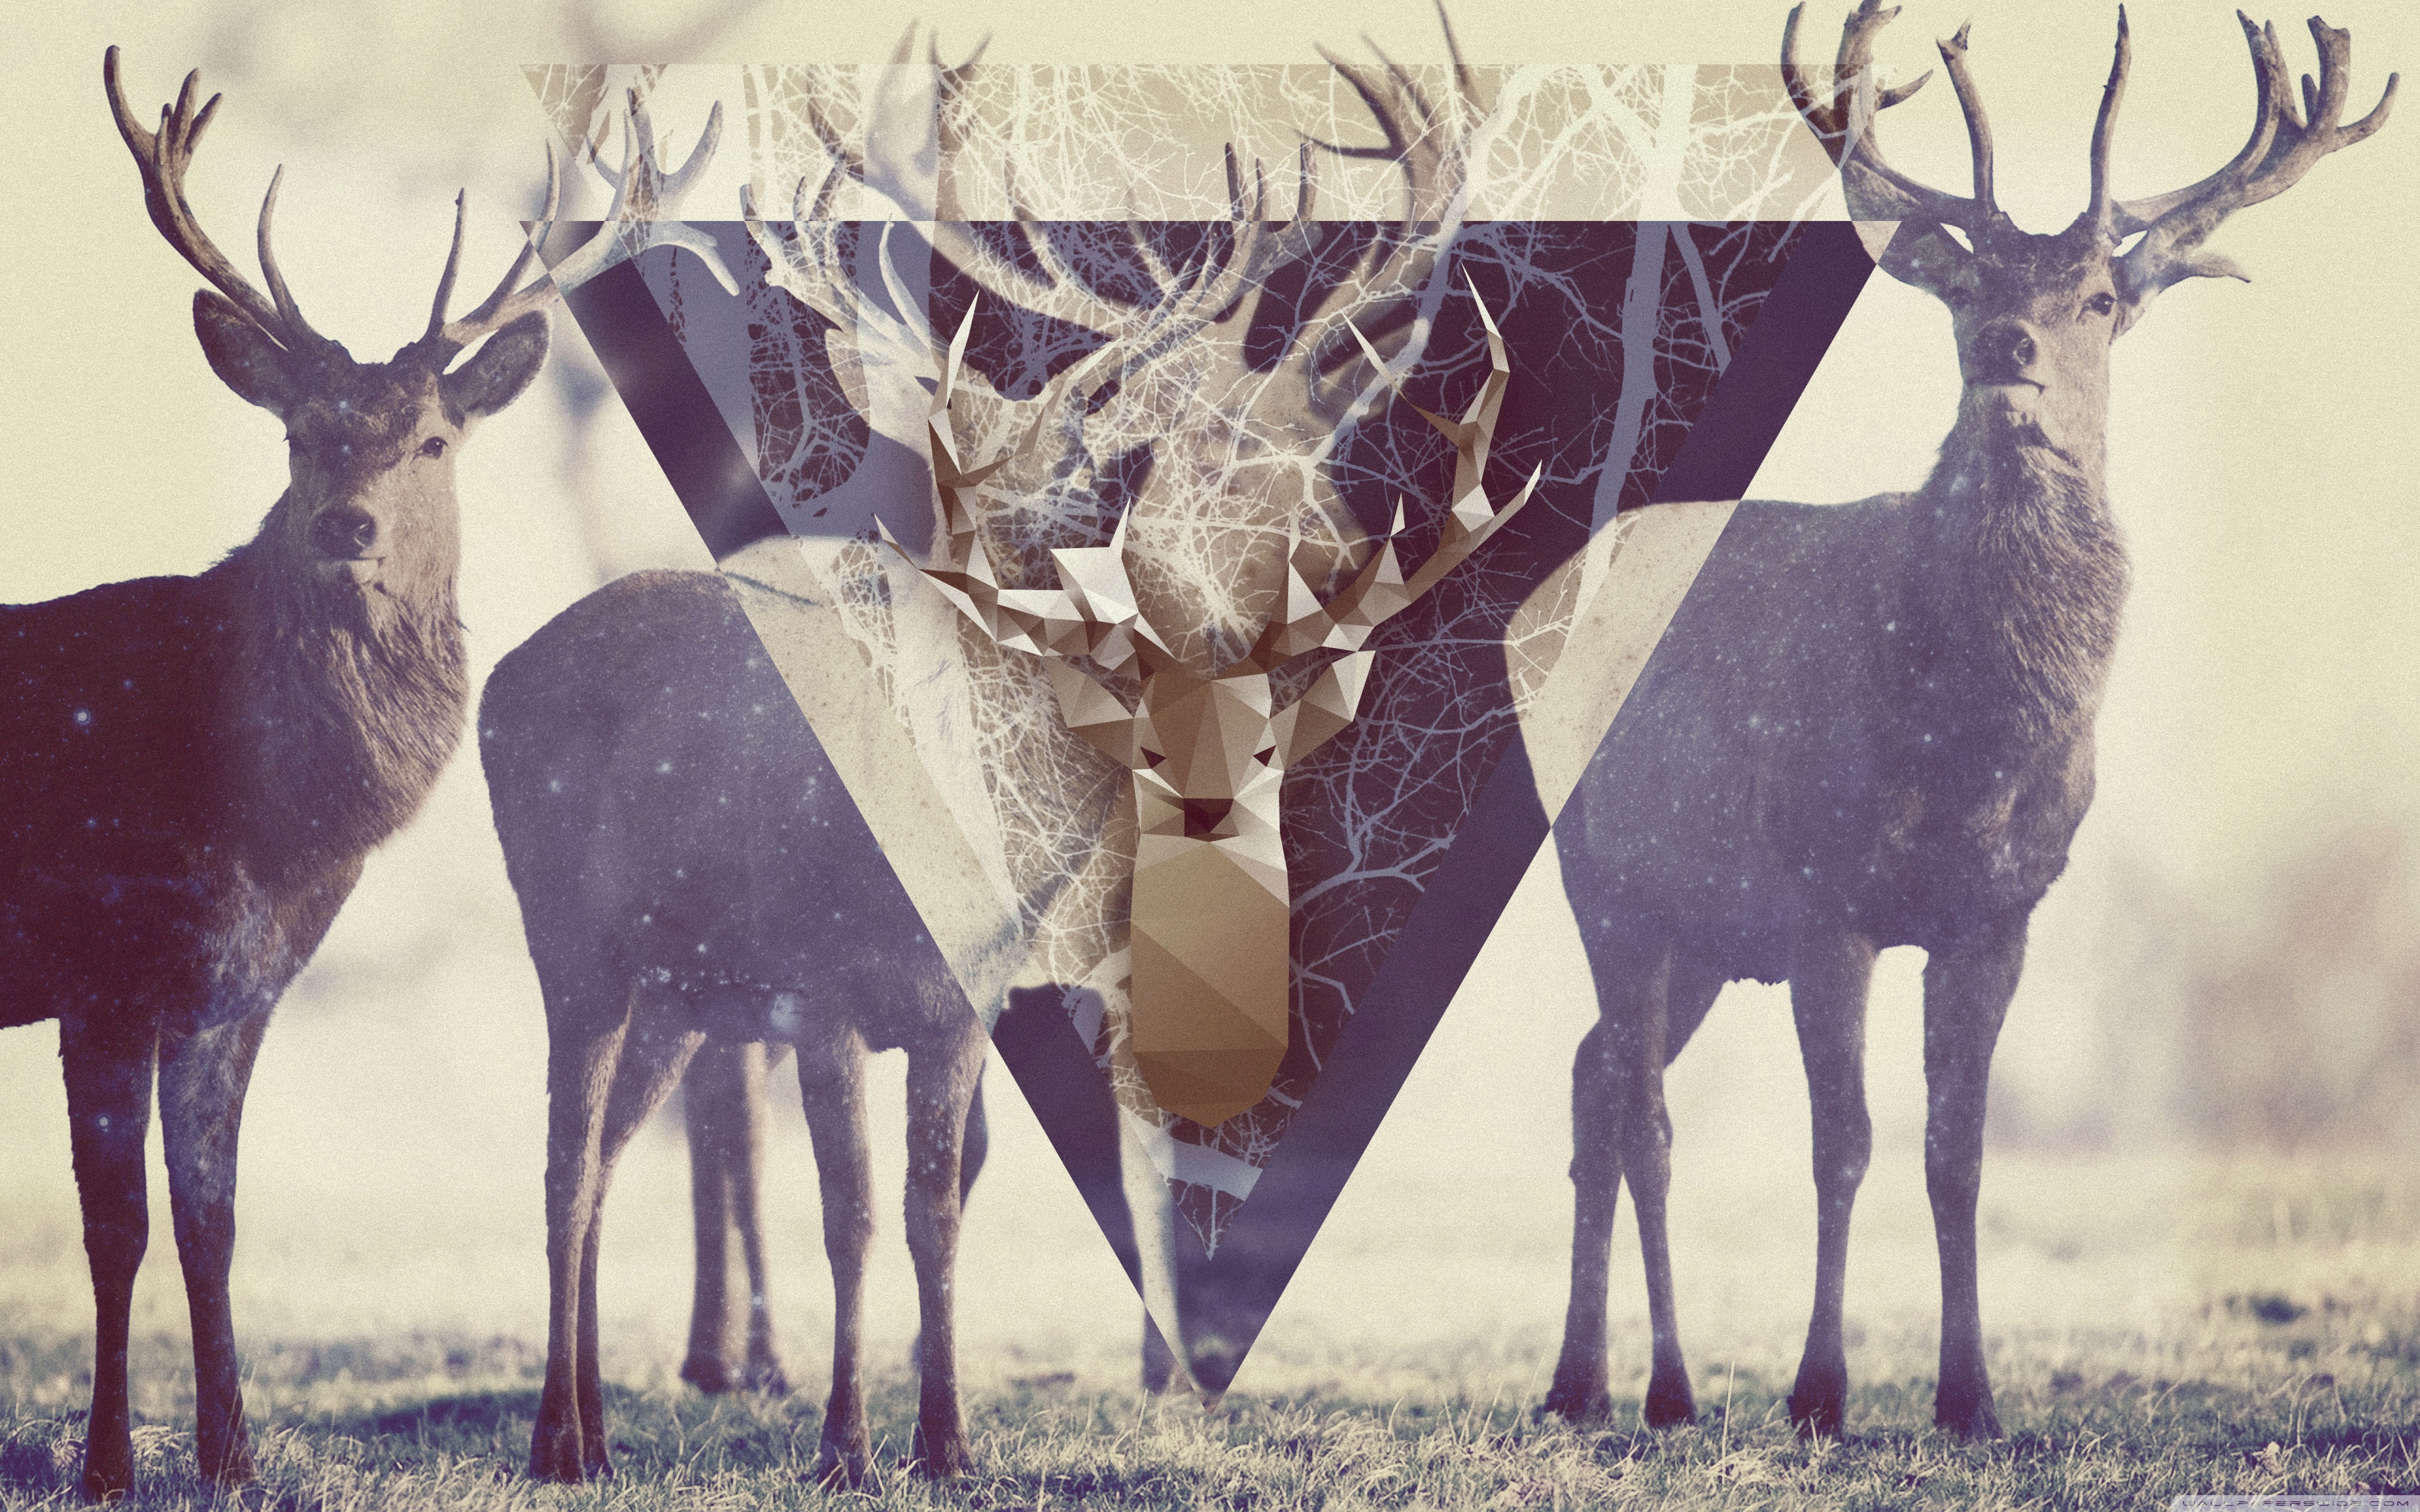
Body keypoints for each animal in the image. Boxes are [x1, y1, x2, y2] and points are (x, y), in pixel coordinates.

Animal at [0, 50, 562, 1501]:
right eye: (303, 432)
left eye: (432, 440)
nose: (348, 525)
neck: (271, 828)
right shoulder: (106, 959)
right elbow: (119, 1229)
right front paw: (107, 1468)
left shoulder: (242, 985)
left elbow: (213, 1219)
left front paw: (234, 1459)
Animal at [1542, 2, 2393, 1440]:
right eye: (1969, 292)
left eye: (2100, 297)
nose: (2013, 353)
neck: (1967, 742)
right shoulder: (1828, 892)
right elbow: (1844, 1146)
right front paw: (1820, 1395)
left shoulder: (2002, 910)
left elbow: (1961, 1154)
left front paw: (1970, 1399)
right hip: (1606, 879)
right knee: (1642, 1112)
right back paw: (1657, 1388)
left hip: (1707, 929)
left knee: (1595, 1076)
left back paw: (1580, 1385)